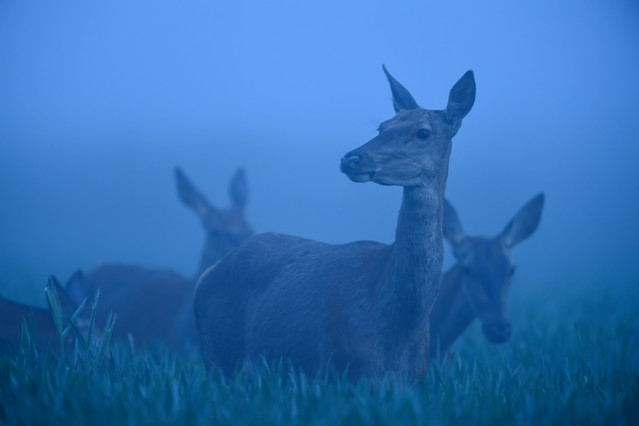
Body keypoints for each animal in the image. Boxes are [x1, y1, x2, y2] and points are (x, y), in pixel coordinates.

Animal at [195, 65, 476, 382]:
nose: (352, 158)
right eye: (381, 126)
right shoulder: (340, 371)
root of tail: (204, 278)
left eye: (423, 132)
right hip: (218, 357)